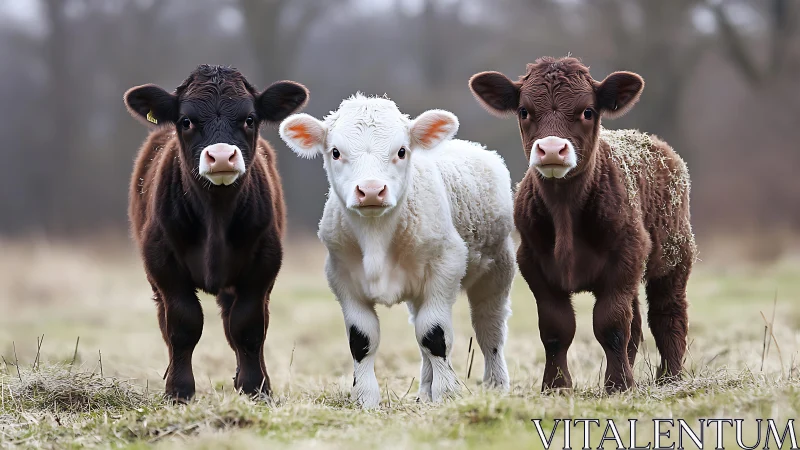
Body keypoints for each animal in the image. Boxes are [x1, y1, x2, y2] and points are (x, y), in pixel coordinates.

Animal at [123, 65, 308, 401]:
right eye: (186, 120)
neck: (216, 216)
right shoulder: (163, 265)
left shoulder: (263, 265)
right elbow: (183, 324)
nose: (221, 157)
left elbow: (247, 326)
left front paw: (254, 387)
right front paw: (179, 391)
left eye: (250, 119)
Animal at [278, 94, 515, 408]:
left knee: (490, 328)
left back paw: (495, 386)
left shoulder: (446, 265)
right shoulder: (342, 277)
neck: (376, 238)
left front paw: (446, 395)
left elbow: (434, 334)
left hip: (498, 269)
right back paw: (425, 390)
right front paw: (365, 399)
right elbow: (363, 339)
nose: (370, 190)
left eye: (401, 151)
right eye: (336, 152)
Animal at [469, 57, 696, 393]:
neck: (564, 211)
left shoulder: (625, 257)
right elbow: (556, 328)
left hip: (674, 256)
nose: (551, 149)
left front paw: (618, 385)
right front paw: (556, 386)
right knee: (636, 324)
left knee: (667, 314)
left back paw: (670, 378)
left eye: (587, 110)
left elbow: (611, 324)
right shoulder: (534, 264)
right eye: (524, 111)